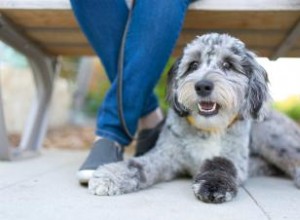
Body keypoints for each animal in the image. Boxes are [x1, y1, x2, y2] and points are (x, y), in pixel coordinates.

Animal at [88, 33, 300, 204]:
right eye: (193, 65)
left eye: (228, 64)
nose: (203, 86)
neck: (209, 128)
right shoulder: (166, 156)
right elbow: (138, 165)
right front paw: (111, 176)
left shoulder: (234, 158)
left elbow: (221, 164)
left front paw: (214, 185)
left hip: (271, 137)